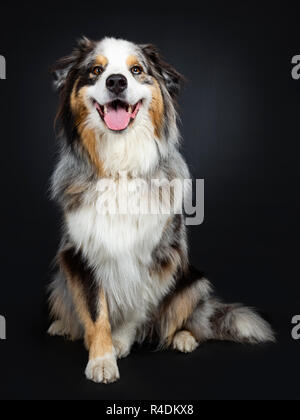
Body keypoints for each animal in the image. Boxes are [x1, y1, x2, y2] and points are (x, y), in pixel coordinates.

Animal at [48, 37, 276, 384]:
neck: (120, 164)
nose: (116, 81)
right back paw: (64, 326)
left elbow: (139, 304)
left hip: (194, 282)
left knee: (187, 321)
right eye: (96, 70)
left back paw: (184, 338)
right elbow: (95, 311)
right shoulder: (81, 253)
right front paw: (101, 358)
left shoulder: (159, 255)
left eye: (136, 70)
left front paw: (119, 343)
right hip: (62, 279)